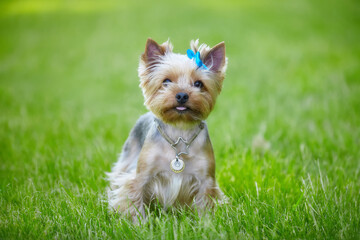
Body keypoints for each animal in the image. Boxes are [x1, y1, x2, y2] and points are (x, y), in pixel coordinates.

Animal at [107, 38, 228, 221]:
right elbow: (134, 198)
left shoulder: (205, 180)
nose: (182, 95)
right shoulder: (140, 176)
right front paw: (140, 224)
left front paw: (206, 224)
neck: (179, 131)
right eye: (166, 81)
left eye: (198, 84)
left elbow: (204, 205)